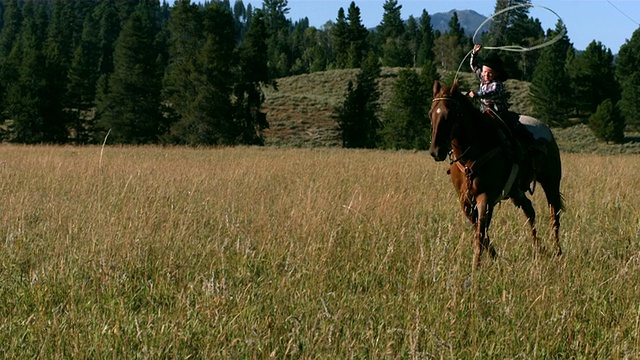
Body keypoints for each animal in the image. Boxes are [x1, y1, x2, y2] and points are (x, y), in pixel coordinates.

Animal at [428, 79, 564, 270]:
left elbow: (480, 230)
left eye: (450, 114)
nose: (436, 151)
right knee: (530, 211)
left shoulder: (486, 197)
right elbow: (479, 229)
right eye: (430, 114)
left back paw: (557, 251)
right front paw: (495, 258)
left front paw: (476, 266)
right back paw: (540, 249)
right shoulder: (464, 200)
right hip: (516, 192)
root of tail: (547, 131)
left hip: (551, 182)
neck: (472, 151)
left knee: (554, 214)